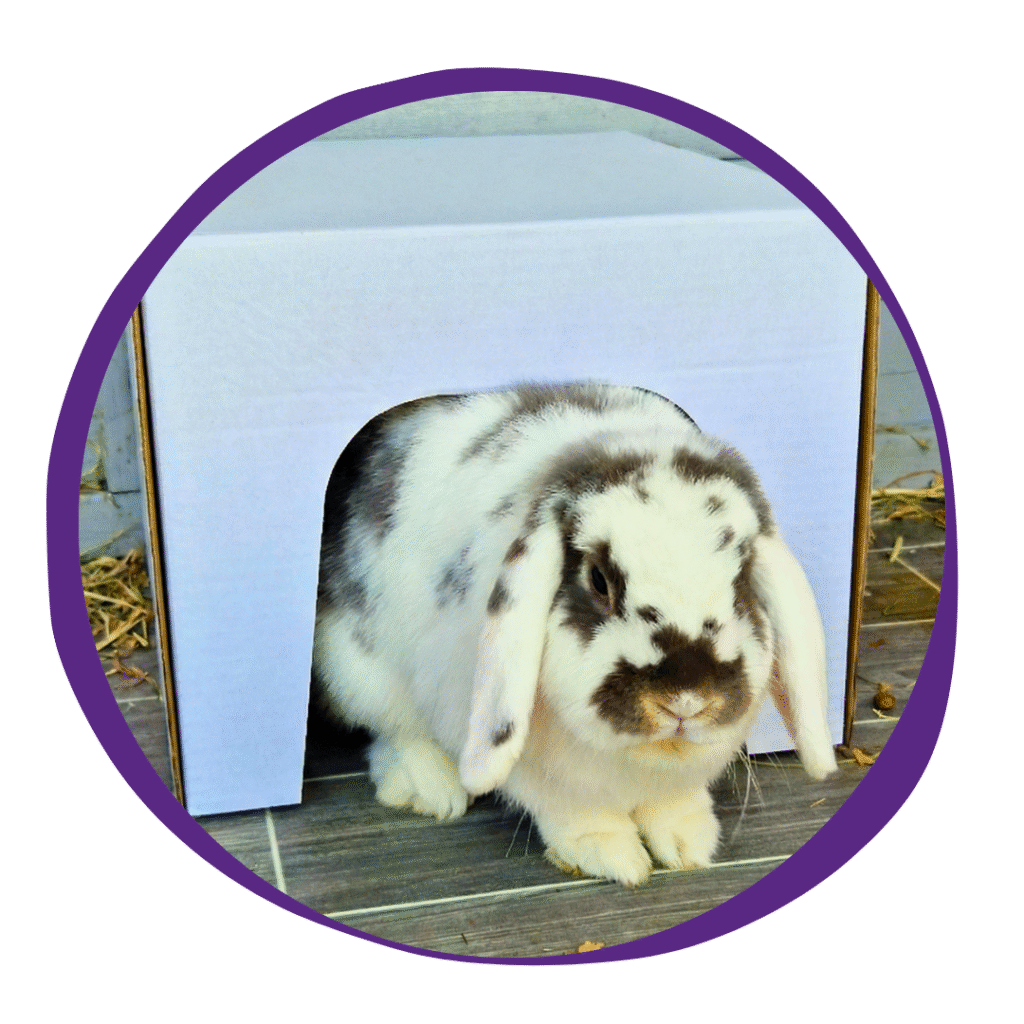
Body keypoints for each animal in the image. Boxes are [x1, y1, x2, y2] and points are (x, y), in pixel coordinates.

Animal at [312, 382, 837, 886]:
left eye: (741, 580)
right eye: (598, 580)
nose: (685, 702)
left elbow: (672, 803)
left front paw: (689, 843)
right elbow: (577, 811)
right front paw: (613, 857)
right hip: (359, 670)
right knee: (393, 726)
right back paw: (431, 789)